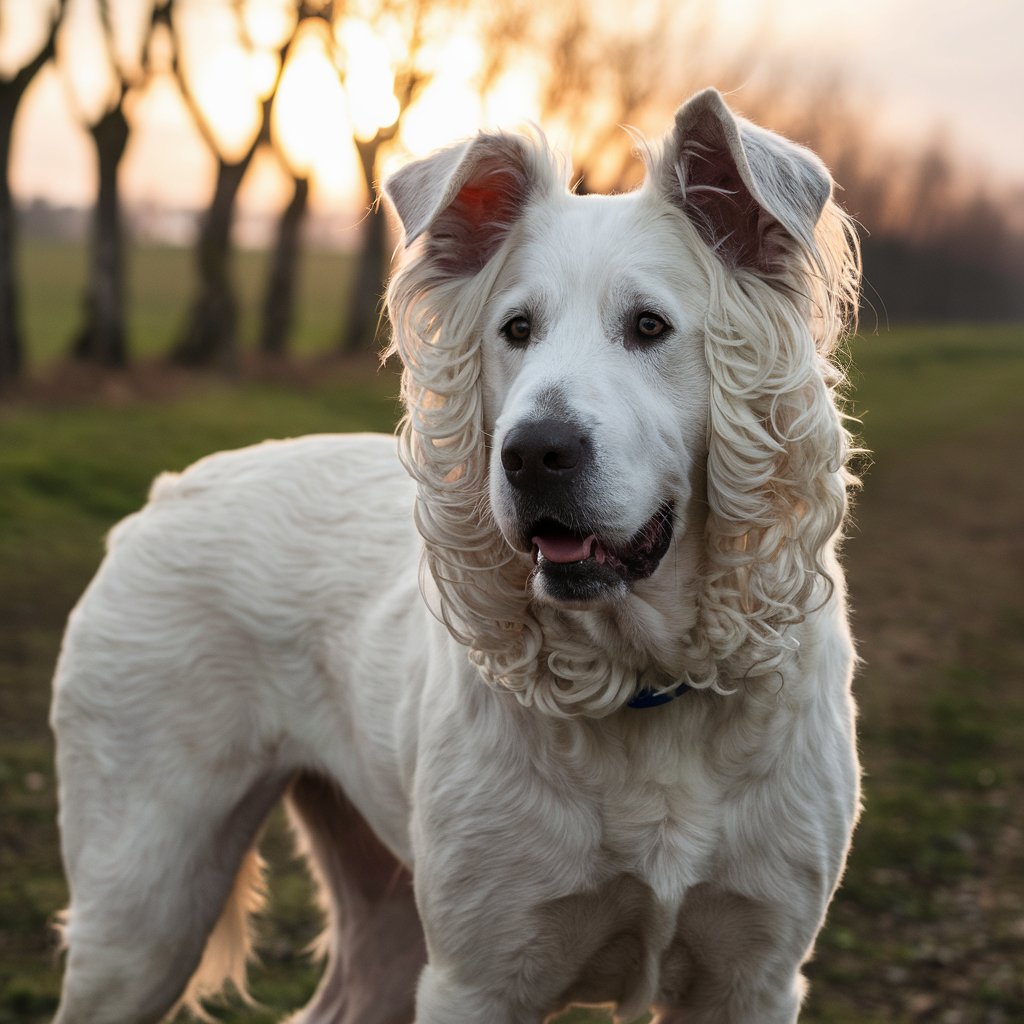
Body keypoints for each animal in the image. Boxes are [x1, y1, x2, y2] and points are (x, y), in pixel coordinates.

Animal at [51, 90, 860, 1024]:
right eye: (517, 329)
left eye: (650, 326)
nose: (534, 453)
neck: (643, 684)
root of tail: (165, 492)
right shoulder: (479, 976)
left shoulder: (753, 975)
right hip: (145, 907)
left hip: (376, 903)